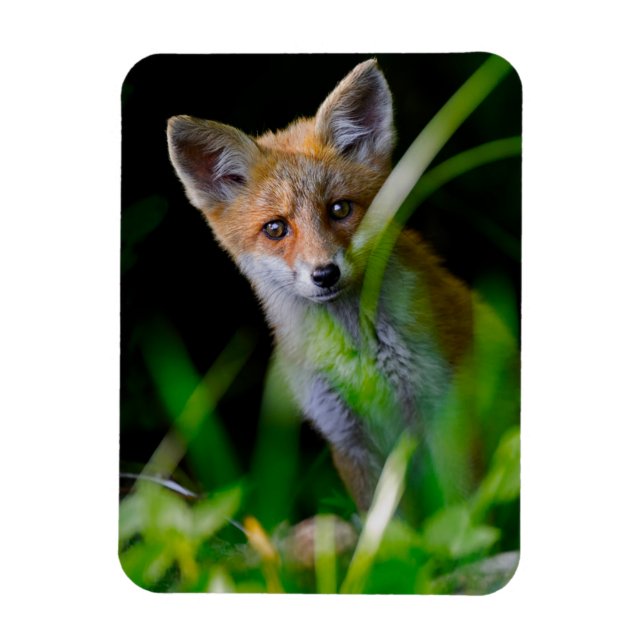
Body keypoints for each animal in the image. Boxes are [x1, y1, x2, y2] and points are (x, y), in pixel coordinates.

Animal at [166, 59, 518, 517]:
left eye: (339, 209)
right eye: (276, 229)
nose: (325, 274)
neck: (359, 355)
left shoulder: (446, 413)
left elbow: (457, 510)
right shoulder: (346, 438)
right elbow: (389, 527)